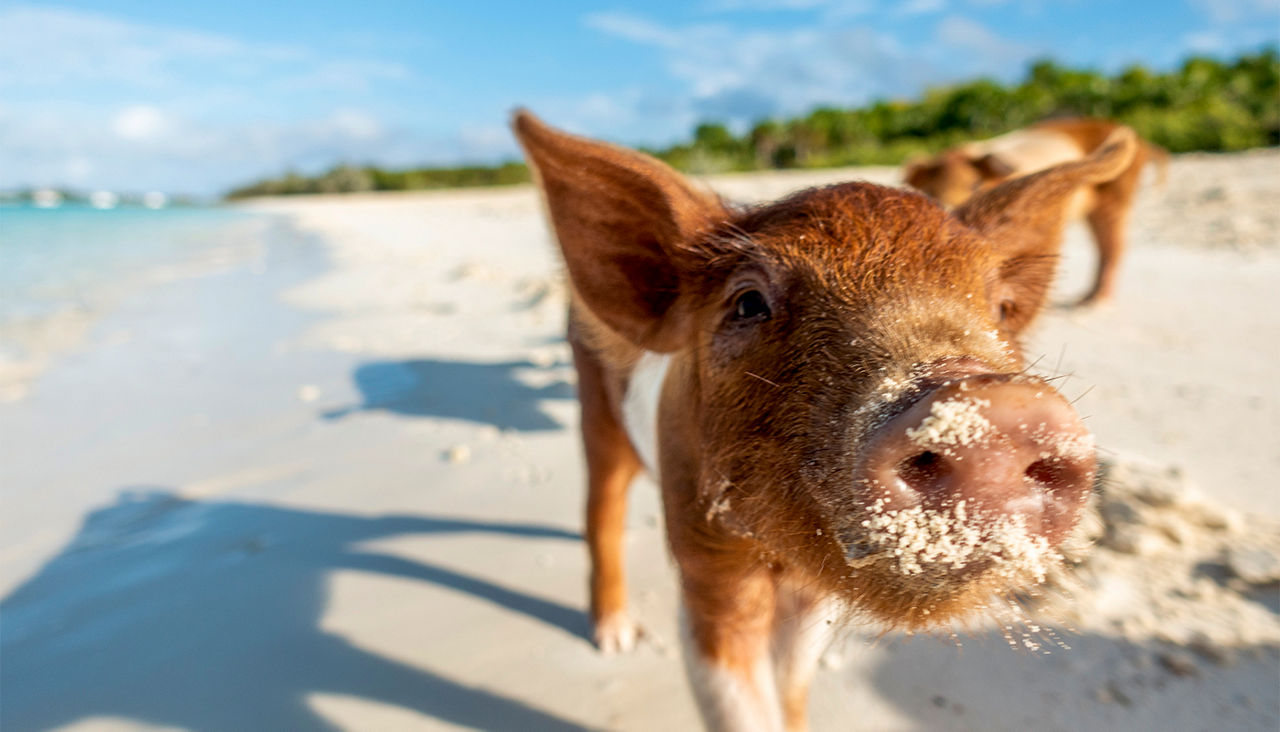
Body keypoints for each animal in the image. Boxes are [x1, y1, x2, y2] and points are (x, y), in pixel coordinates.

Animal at [509, 110, 1131, 732]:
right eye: (748, 303)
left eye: (1000, 308)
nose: (995, 405)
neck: (779, 560)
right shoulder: (705, 560)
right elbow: (738, 699)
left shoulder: (814, 595)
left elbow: (792, 682)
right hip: (595, 403)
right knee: (602, 507)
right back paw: (615, 638)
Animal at [906, 118, 1167, 307]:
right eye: (929, 191)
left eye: (974, 185)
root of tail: (1139, 139)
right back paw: (1084, 298)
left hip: (1117, 193)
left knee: (1113, 245)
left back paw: (1093, 304)